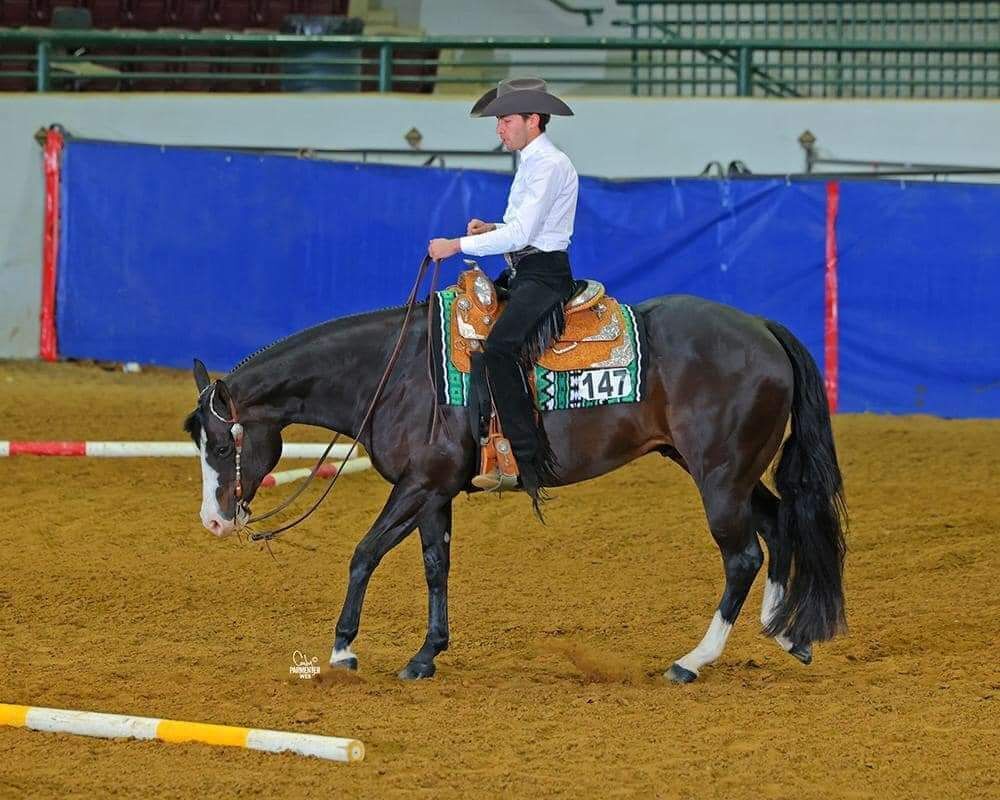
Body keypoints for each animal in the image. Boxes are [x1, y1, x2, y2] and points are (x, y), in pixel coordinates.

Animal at [186, 292, 844, 680]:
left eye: (220, 444)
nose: (213, 522)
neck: (395, 373)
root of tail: (762, 327)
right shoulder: (434, 491)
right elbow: (435, 565)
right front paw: (426, 654)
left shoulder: (420, 485)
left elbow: (364, 553)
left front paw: (344, 648)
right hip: (720, 471)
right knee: (780, 525)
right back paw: (787, 635)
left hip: (719, 477)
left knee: (743, 556)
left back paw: (693, 660)